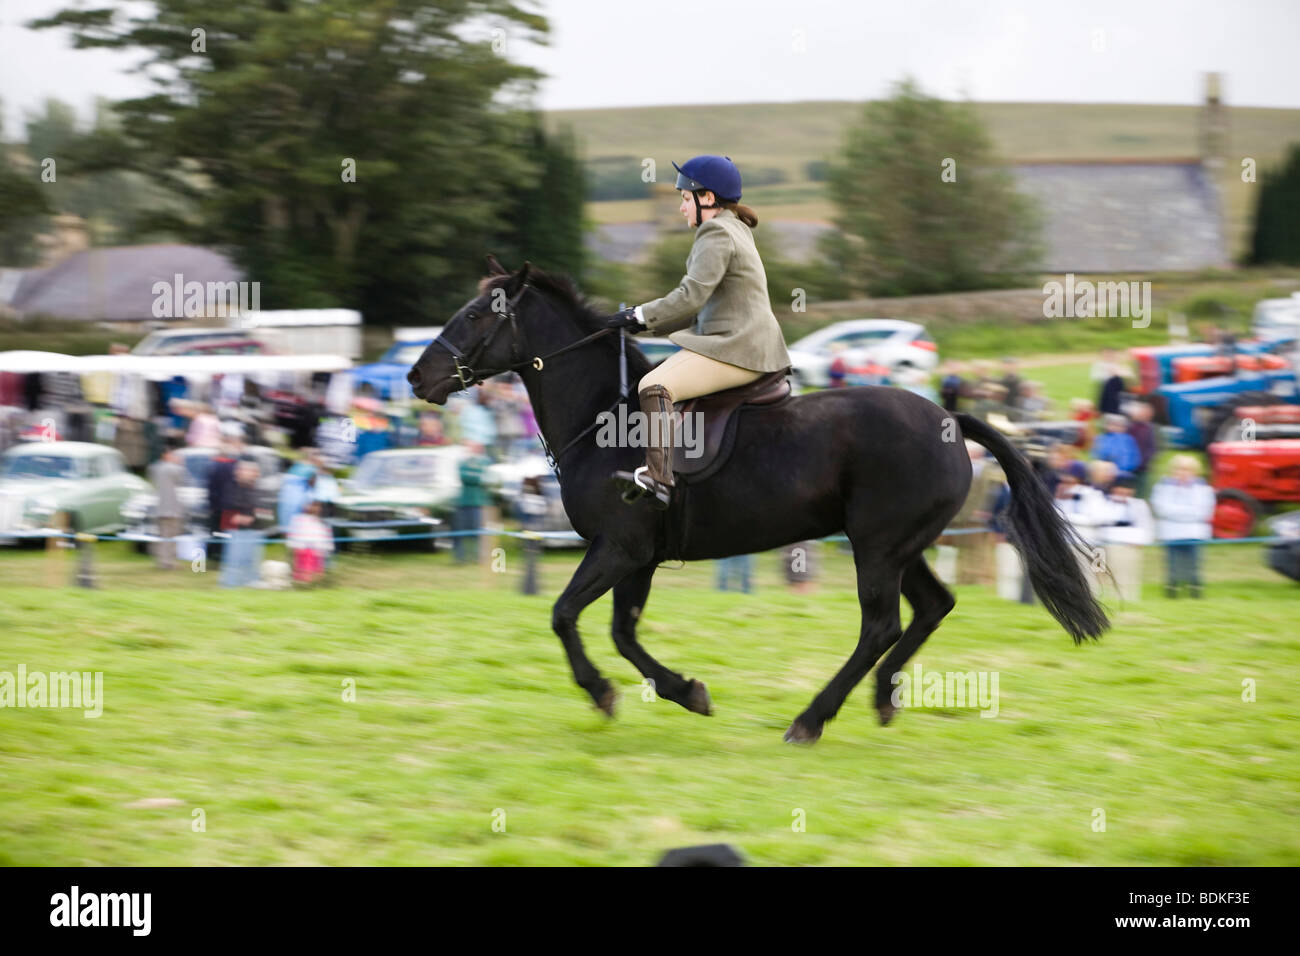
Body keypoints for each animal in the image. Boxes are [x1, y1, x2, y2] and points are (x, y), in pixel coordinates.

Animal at [407, 258, 1109, 743]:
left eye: (477, 315)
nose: (416, 377)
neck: (604, 418)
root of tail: (949, 418)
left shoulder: (620, 546)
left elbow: (563, 615)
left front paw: (604, 693)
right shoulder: (639, 556)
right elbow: (622, 632)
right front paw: (686, 691)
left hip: (878, 546)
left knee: (881, 625)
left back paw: (812, 718)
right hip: (901, 545)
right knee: (932, 607)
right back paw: (883, 699)